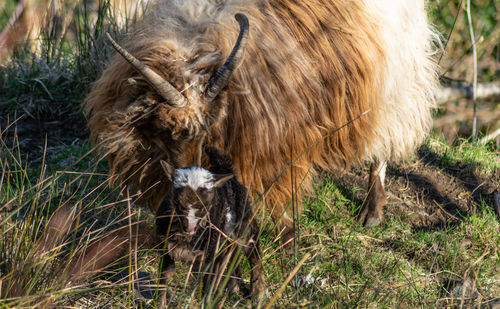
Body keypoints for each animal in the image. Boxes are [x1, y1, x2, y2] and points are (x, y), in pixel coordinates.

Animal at [156, 146, 266, 304]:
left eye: (206, 206)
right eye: (178, 203)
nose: (189, 228)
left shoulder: (210, 254)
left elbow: (209, 285)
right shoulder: (166, 248)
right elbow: (164, 278)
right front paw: (160, 303)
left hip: (246, 227)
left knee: (254, 254)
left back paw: (258, 293)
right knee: (232, 261)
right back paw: (233, 289)